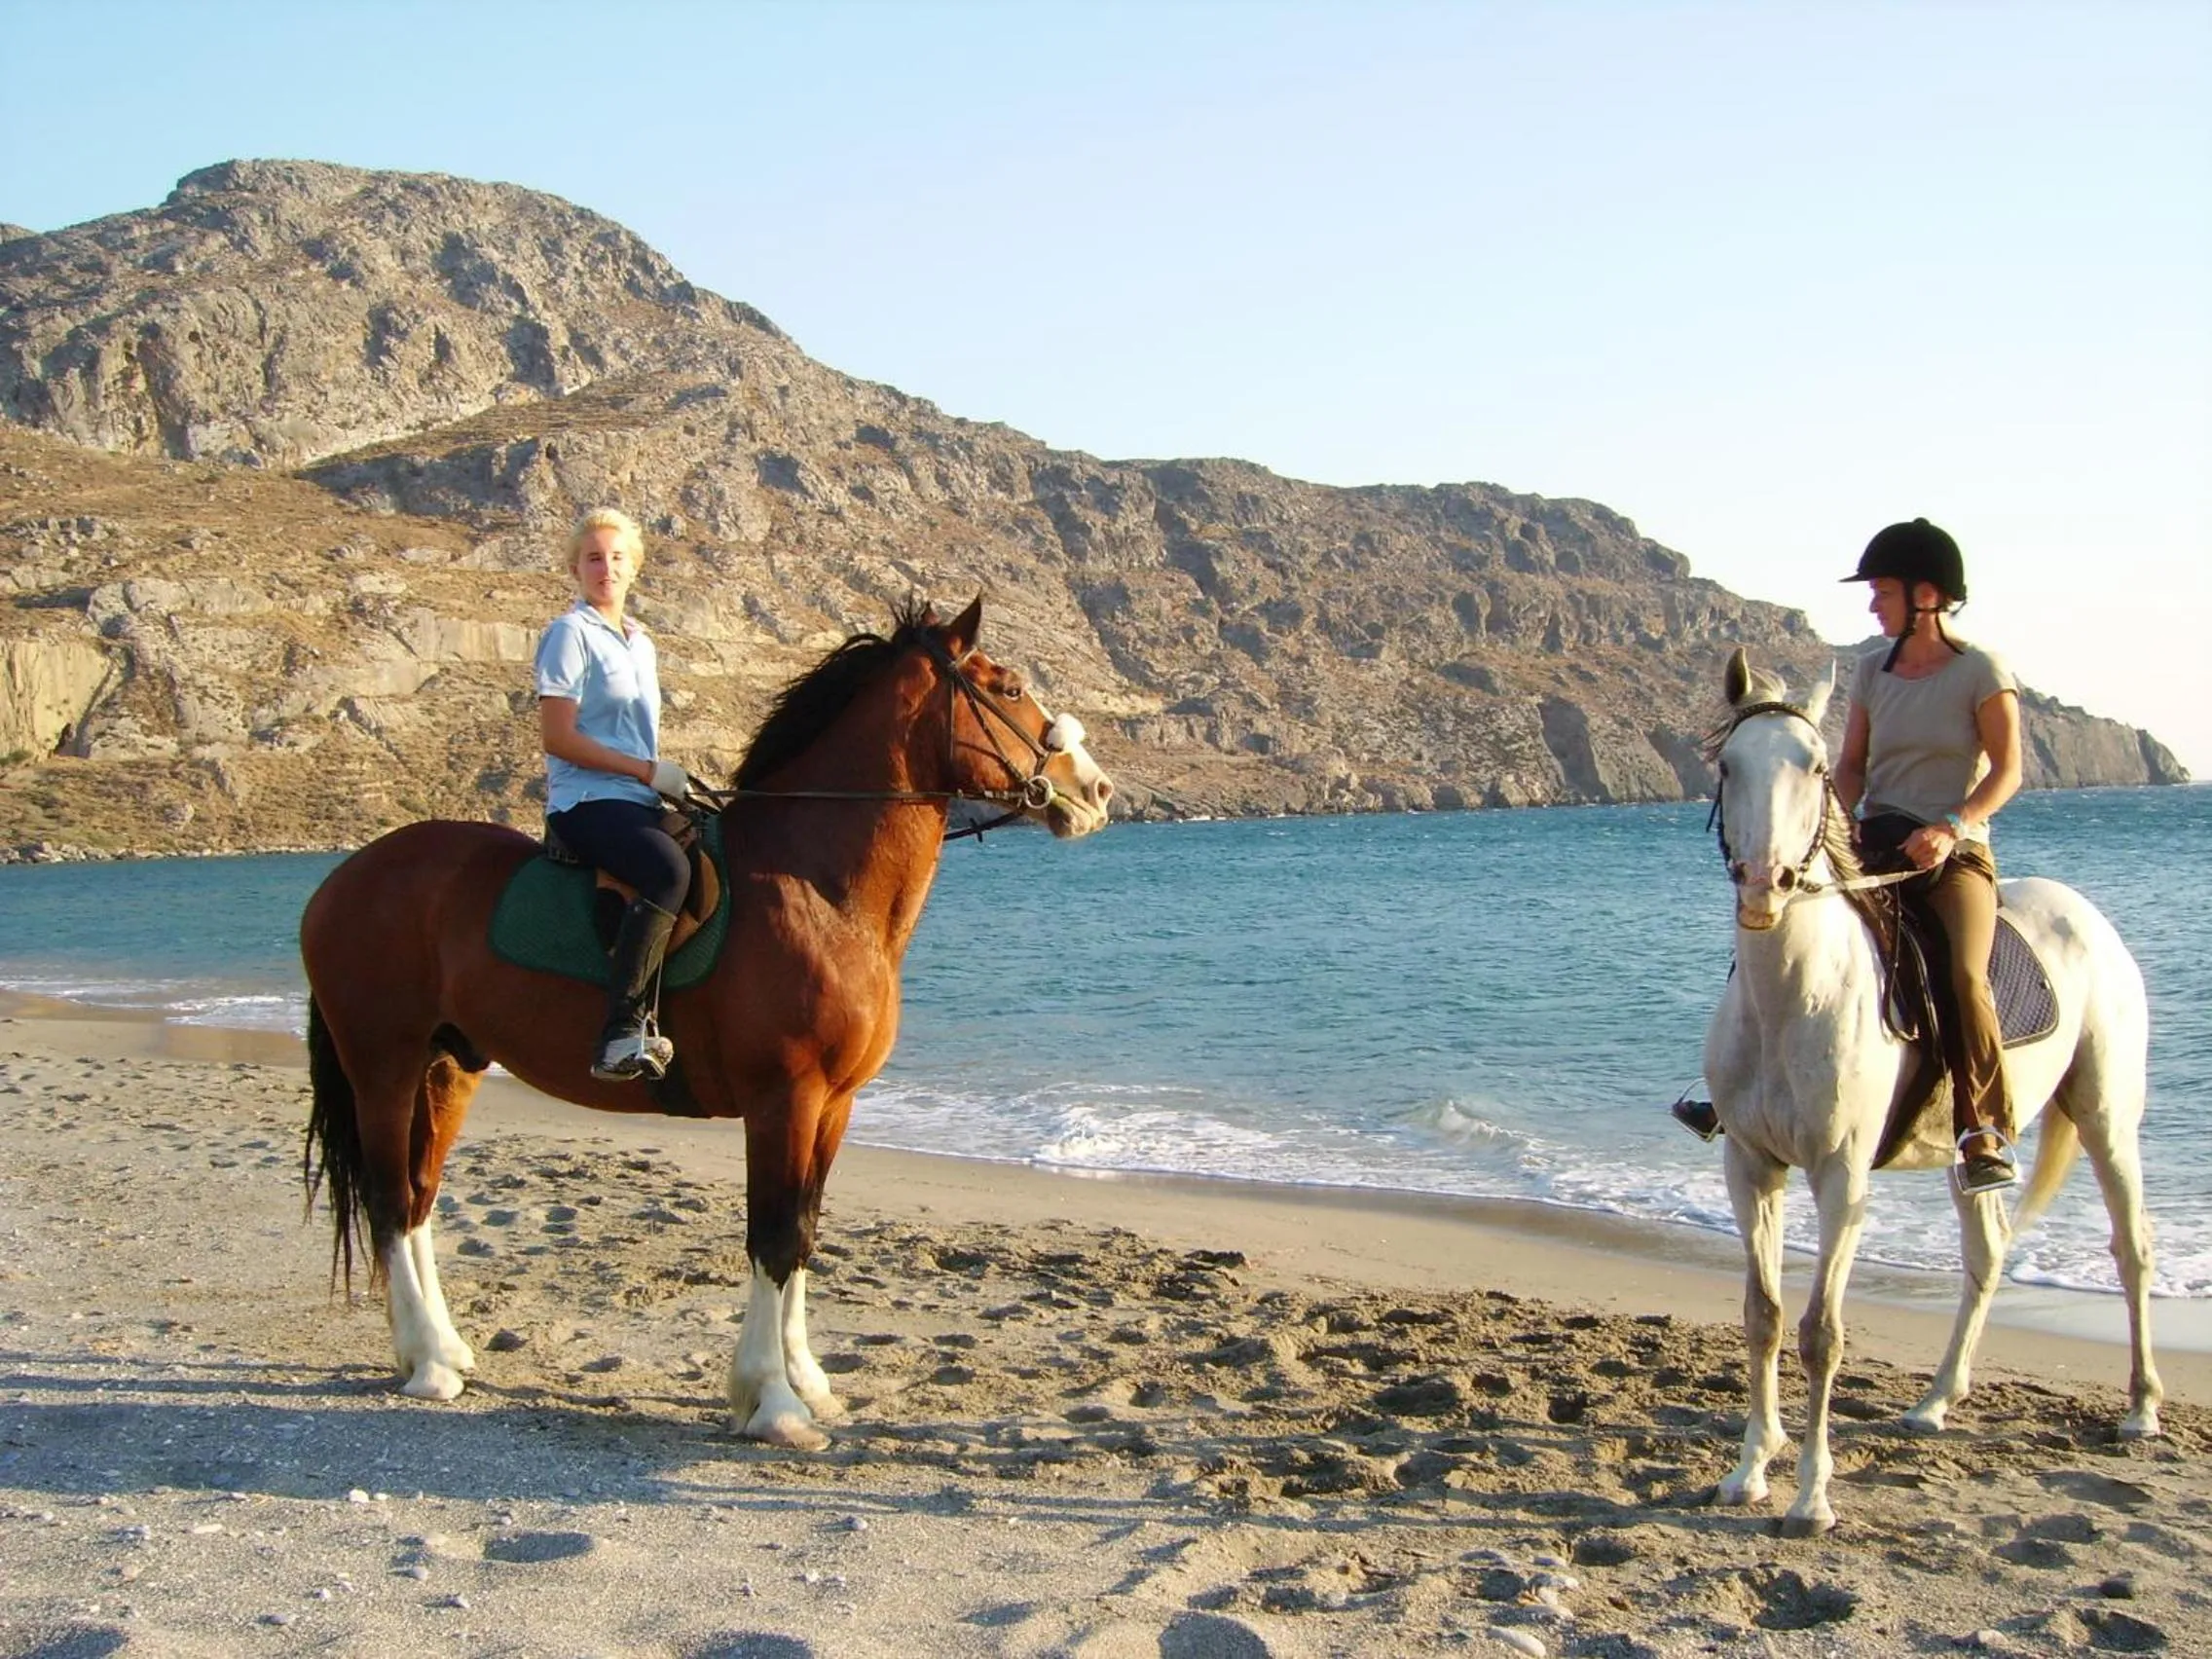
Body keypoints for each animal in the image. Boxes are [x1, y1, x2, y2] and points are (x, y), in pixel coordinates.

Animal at [300, 597, 1114, 1448]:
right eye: (1011, 687)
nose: (1097, 791)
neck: (818, 888)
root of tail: (343, 878)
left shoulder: (835, 1104)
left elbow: (804, 1232)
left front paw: (807, 1381)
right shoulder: (784, 1098)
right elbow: (774, 1238)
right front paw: (773, 1401)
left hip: (448, 1067)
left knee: (420, 1197)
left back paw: (444, 1349)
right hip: (383, 1066)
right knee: (390, 1201)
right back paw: (427, 1364)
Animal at [1702, 647, 2161, 1536]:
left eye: (1815, 767)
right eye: (1729, 765)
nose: (1766, 886)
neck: (1793, 996)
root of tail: (2087, 916)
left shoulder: (1841, 1177)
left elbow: (1821, 1333)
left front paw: (1811, 1498)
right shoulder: (1751, 1166)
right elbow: (1762, 1316)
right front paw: (1748, 1471)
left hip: (2106, 1118)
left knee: (2132, 1248)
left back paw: (2141, 1409)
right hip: (1968, 1148)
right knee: (1987, 1252)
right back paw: (1936, 1403)